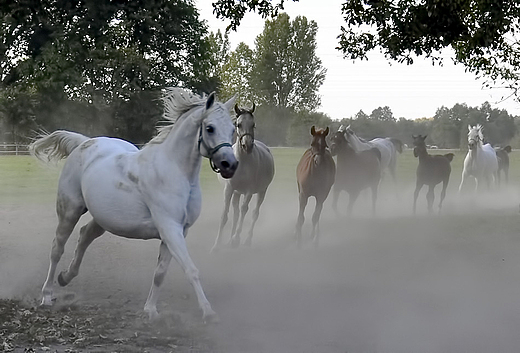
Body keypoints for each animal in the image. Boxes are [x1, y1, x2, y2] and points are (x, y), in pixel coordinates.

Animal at [30, 88, 238, 322]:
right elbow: (191, 270)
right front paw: (208, 312)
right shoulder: (170, 228)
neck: (175, 172)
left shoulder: (179, 231)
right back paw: (47, 295)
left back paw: (66, 277)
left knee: (85, 235)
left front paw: (151, 310)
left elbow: (160, 273)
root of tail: (85, 142)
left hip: (103, 219)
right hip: (69, 211)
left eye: (233, 129)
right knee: (57, 248)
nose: (230, 165)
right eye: (210, 128)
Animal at [211, 102, 276, 250]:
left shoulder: (249, 191)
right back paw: (230, 239)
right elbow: (225, 215)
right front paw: (217, 245)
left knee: (254, 213)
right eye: (238, 124)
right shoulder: (229, 189)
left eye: (253, 124)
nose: (247, 146)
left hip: (262, 191)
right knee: (235, 213)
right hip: (236, 192)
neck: (242, 162)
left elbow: (244, 210)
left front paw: (236, 238)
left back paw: (246, 240)